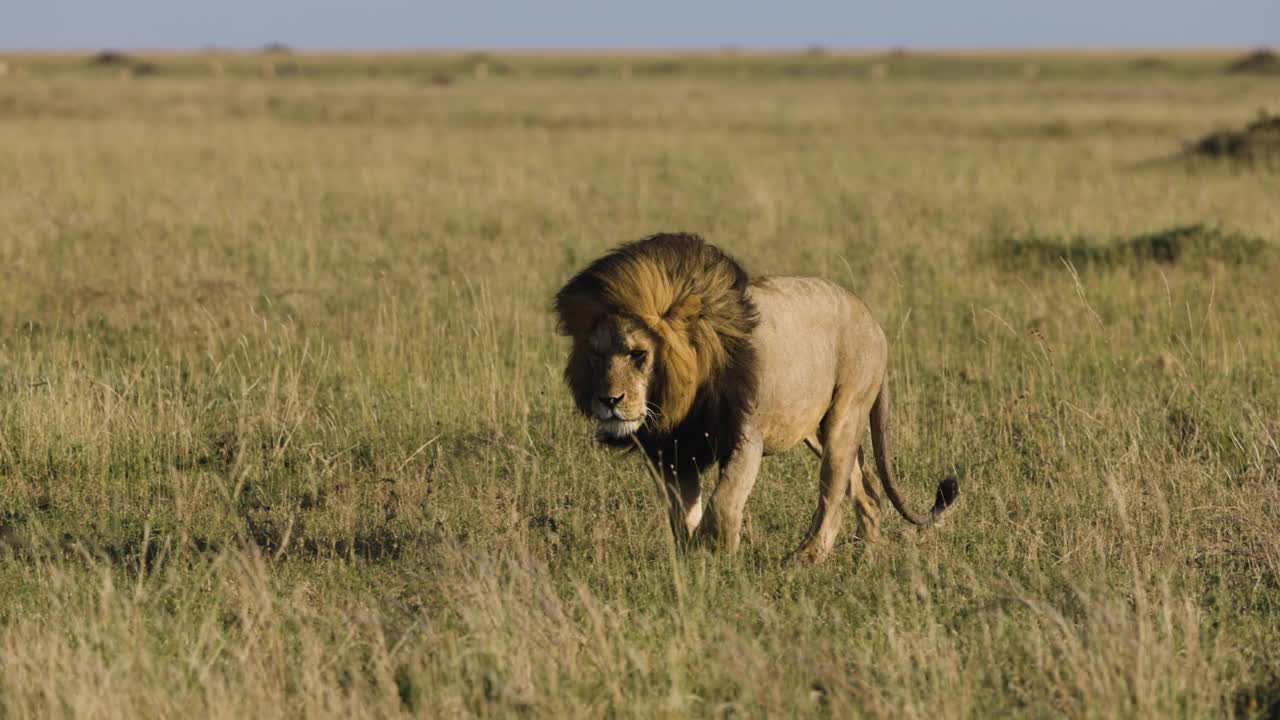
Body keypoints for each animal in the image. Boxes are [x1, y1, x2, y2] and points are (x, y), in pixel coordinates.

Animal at [552, 233, 962, 558]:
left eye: (639, 354)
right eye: (596, 355)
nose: (609, 400)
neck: (679, 394)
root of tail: (873, 319)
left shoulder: (745, 436)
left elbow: (723, 504)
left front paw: (715, 554)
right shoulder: (674, 449)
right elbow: (682, 513)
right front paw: (689, 556)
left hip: (846, 413)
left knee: (832, 493)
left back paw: (804, 560)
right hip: (815, 428)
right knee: (867, 488)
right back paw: (866, 551)